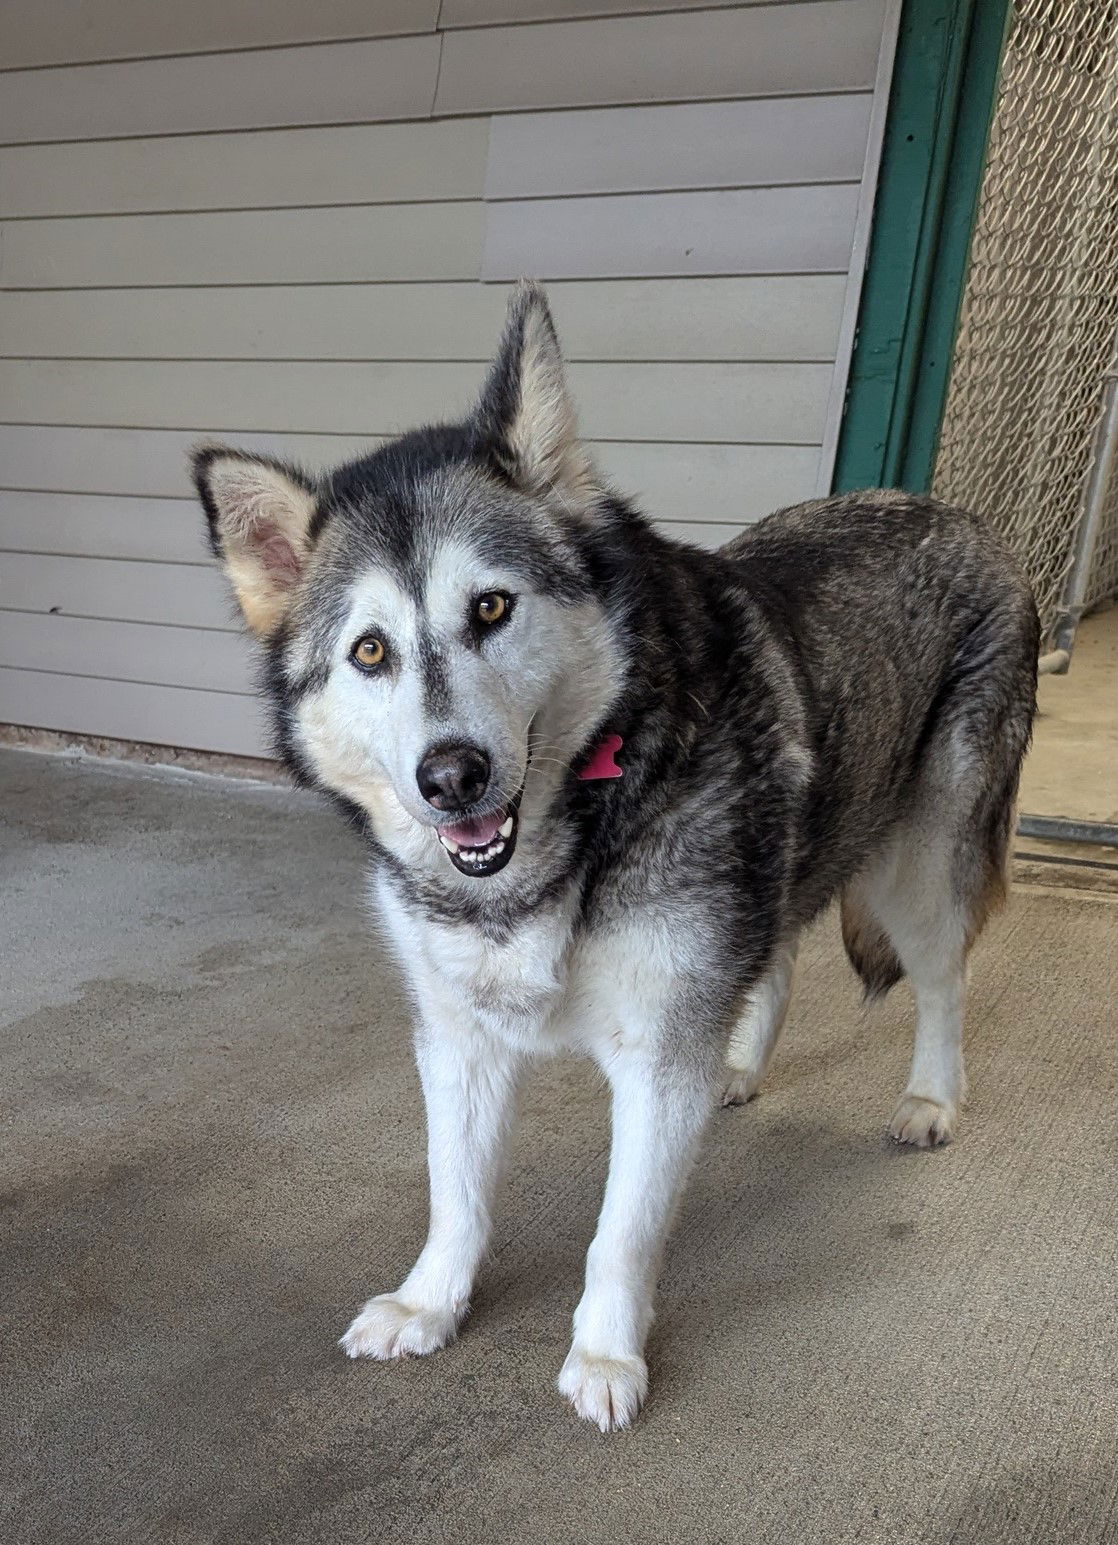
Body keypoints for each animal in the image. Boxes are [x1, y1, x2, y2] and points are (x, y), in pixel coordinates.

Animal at [192, 284, 1037, 1427]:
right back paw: (739, 1064)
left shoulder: (655, 1053)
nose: (450, 776)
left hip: (922, 859)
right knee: (773, 950)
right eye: (370, 651)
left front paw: (603, 1352)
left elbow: (622, 1230)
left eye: (491, 607)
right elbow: (454, 1194)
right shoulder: (456, 1037)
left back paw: (930, 1098)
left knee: (941, 977)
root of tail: (953, 511)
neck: (557, 844)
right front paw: (430, 1303)